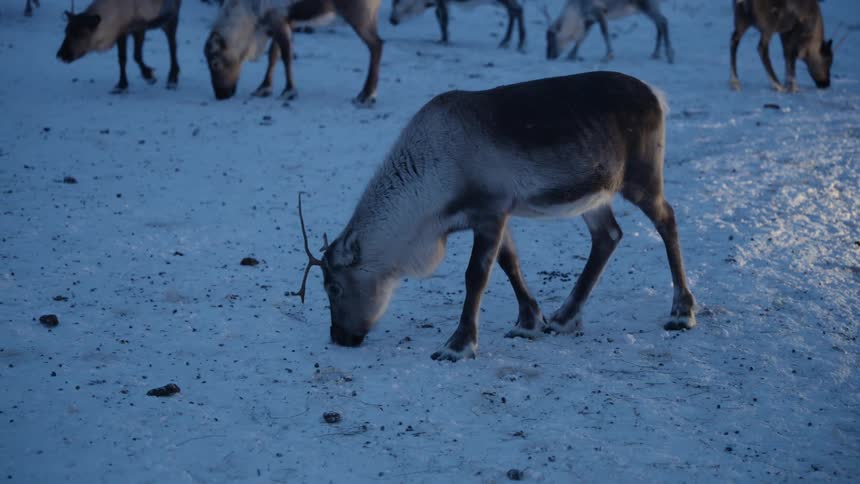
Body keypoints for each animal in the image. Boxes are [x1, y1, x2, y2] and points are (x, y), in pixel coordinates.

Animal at [204, 0, 383, 106]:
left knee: (376, 45)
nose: (220, 95)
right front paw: (263, 88)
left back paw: (367, 95)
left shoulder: (278, 19)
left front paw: (288, 91)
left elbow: (286, 56)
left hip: (358, 13)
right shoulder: (282, 22)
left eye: (215, 63)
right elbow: (273, 55)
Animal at [289, 71, 697, 362]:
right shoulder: (493, 215)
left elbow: (476, 277)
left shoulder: (490, 211)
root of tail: (656, 95)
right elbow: (509, 264)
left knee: (668, 220)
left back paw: (681, 311)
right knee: (608, 236)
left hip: (641, 177)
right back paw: (564, 317)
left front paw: (459, 345)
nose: (339, 337)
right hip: (594, 194)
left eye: (334, 287)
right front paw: (530, 322)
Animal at [388, 0, 526, 50]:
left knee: (516, 9)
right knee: (515, 10)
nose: (392, 20)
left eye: (396, 1)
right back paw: (509, 42)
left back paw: (515, 42)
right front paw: (442, 39)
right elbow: (440, 17)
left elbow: (443, 18)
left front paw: (444, 41)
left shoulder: (441, 2)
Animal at [544, 0, 673, 63]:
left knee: (663, 21)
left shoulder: (599, 12)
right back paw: (656, 54)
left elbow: (604, 33)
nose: (549, 56)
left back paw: (669, 56)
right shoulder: (590, 19)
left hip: (647, 6)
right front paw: (571, 55)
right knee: (659, 25)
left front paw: (608, 56)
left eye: (551, 37)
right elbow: (582, 38)